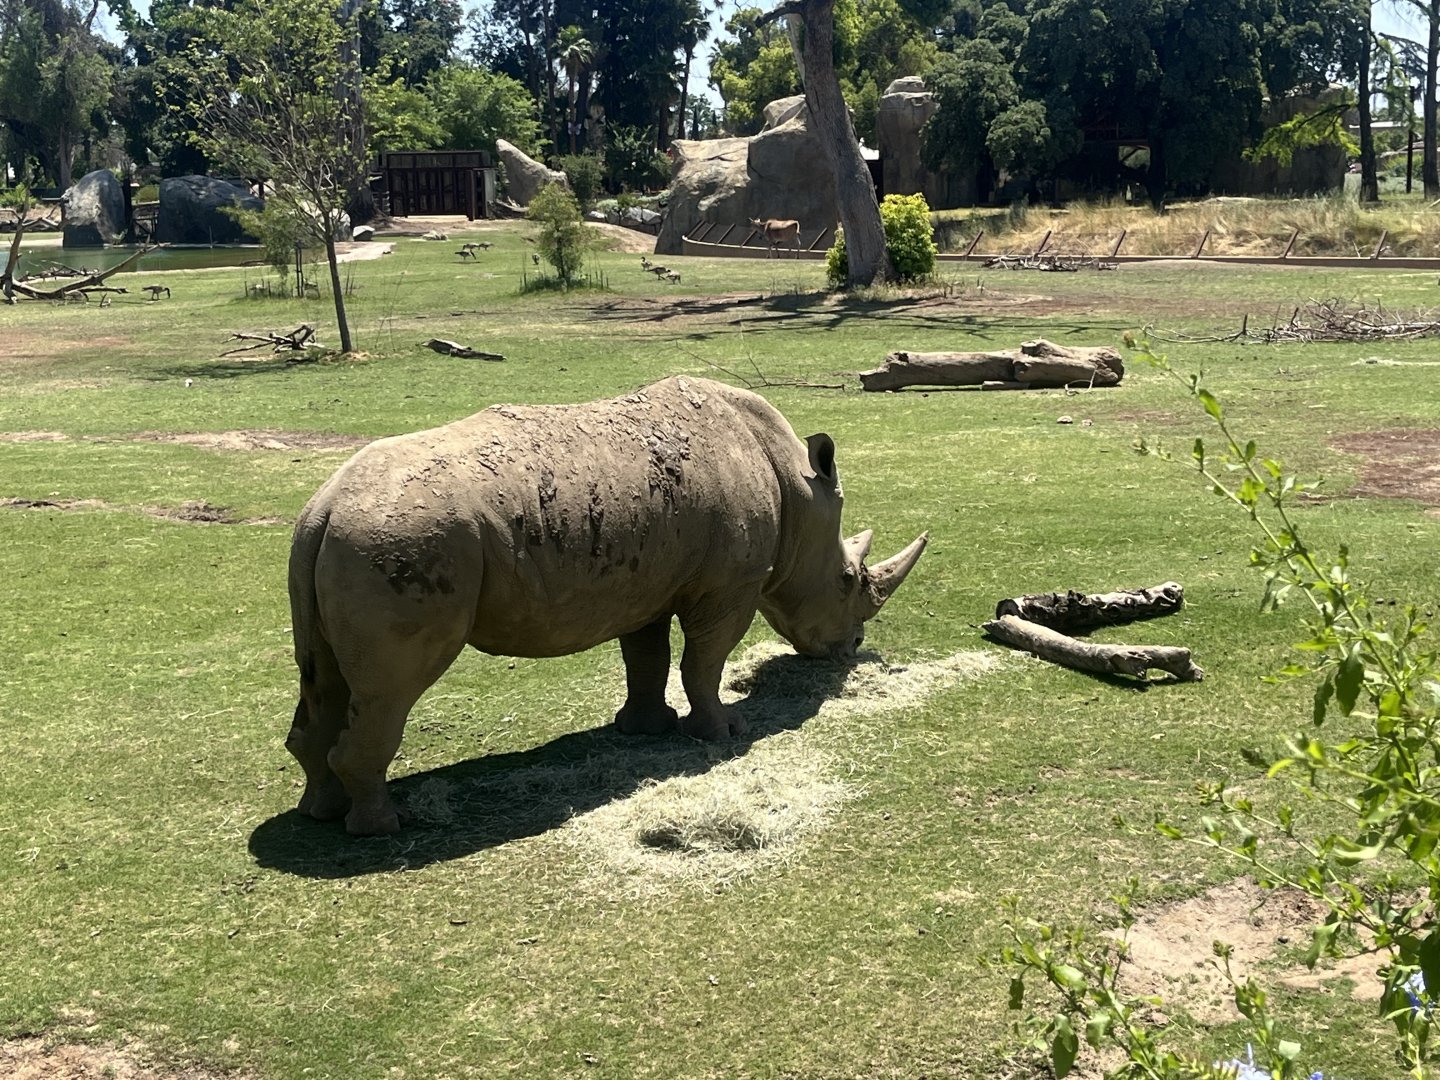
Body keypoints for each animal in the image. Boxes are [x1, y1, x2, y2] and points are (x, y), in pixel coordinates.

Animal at [286, 376, 927, 835]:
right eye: (847, 580)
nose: (851, 649)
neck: (796, 487)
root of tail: (325, 505)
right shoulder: (731, 586)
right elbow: (704, 662)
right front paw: (724, 731)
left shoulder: (646, 583)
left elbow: (647, 658)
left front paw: (646, 728)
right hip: (400, 541)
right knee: (391, 689)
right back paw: (383, 828)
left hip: (334, 542)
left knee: (324, 678)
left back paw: (322, 812)